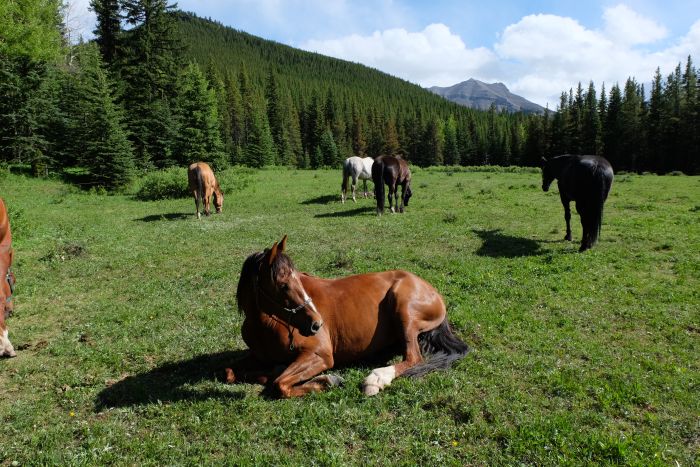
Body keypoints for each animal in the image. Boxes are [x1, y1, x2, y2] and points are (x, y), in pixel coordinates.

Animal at [228, 238, 470, 398]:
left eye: (298, 279)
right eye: (283, 285)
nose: (316, 324)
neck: (265, 327)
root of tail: (434, 292)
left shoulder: (320, 355)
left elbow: (280, 385)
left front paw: (327, 381)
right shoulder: (256, 357)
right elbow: (230, 372)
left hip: (404, 310)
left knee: (413, 358)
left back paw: (376, 379)